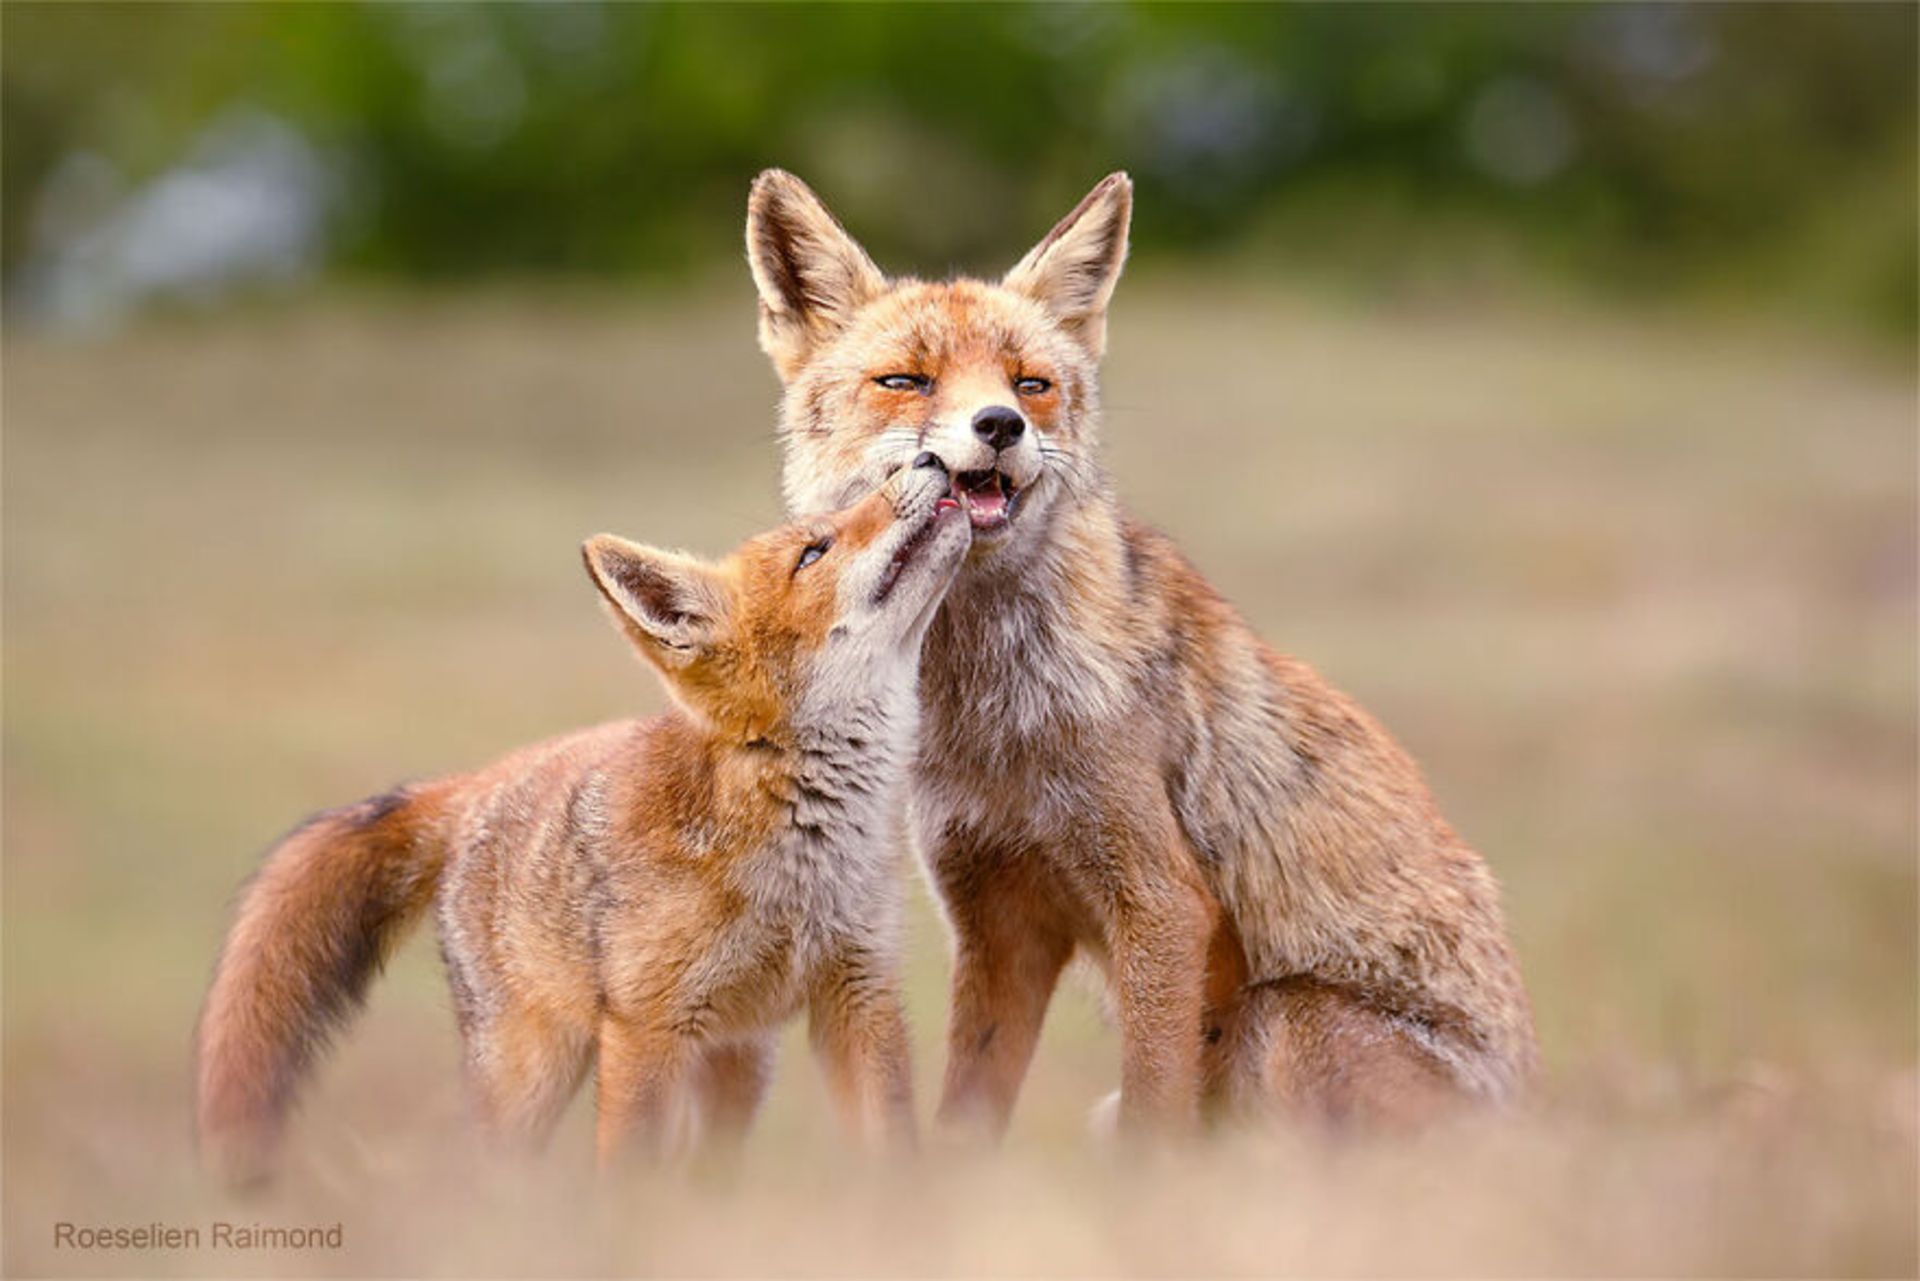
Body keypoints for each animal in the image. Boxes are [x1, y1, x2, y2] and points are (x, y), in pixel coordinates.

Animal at [192, 460, 967, 1183]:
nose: (929, 460)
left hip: (738, 1063)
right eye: (814, 550)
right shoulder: (646, 1027)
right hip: (534, 1077)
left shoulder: (861, 992)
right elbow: (630, 1179)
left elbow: (894, 1153)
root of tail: (473, 782)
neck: (796, 845)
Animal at [741, 168, 1536, 1129]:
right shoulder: (996, 914)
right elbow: (968, 1113)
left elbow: (1153, 1124)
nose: (999, 424)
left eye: (1031, 384)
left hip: (1283, 1019)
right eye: (905, 380)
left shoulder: (1160, 903)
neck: (991, 719)